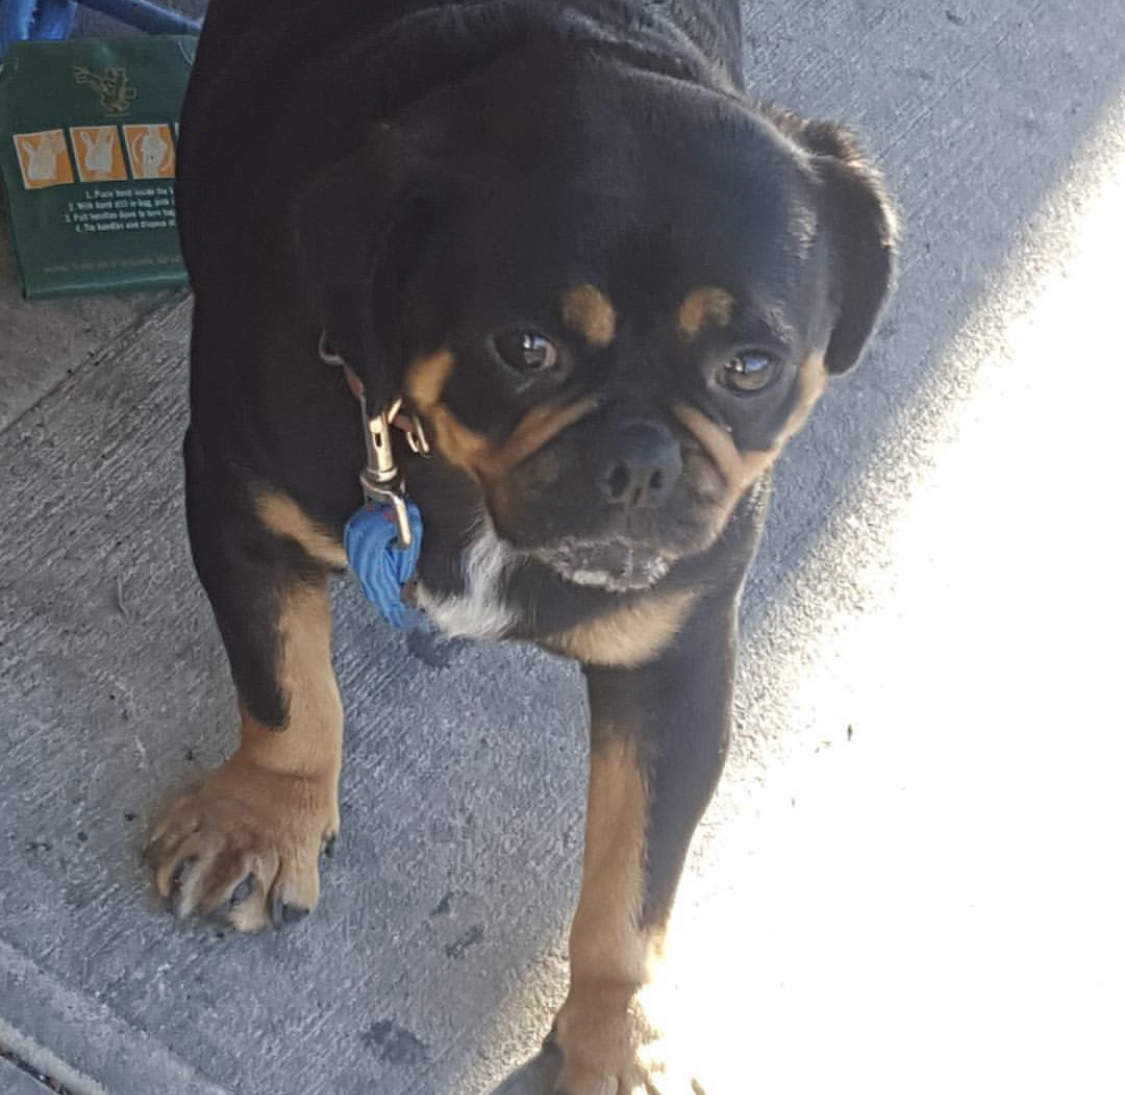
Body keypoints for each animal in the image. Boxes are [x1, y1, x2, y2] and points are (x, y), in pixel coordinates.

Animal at [142, 4, 895, 1089]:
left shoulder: (676, 664)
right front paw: (264, 817)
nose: (640, 460)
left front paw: (613, 1030)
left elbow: (634, 880)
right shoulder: (240, 502)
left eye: (751, 367)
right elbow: (287, 688)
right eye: (525, 349)